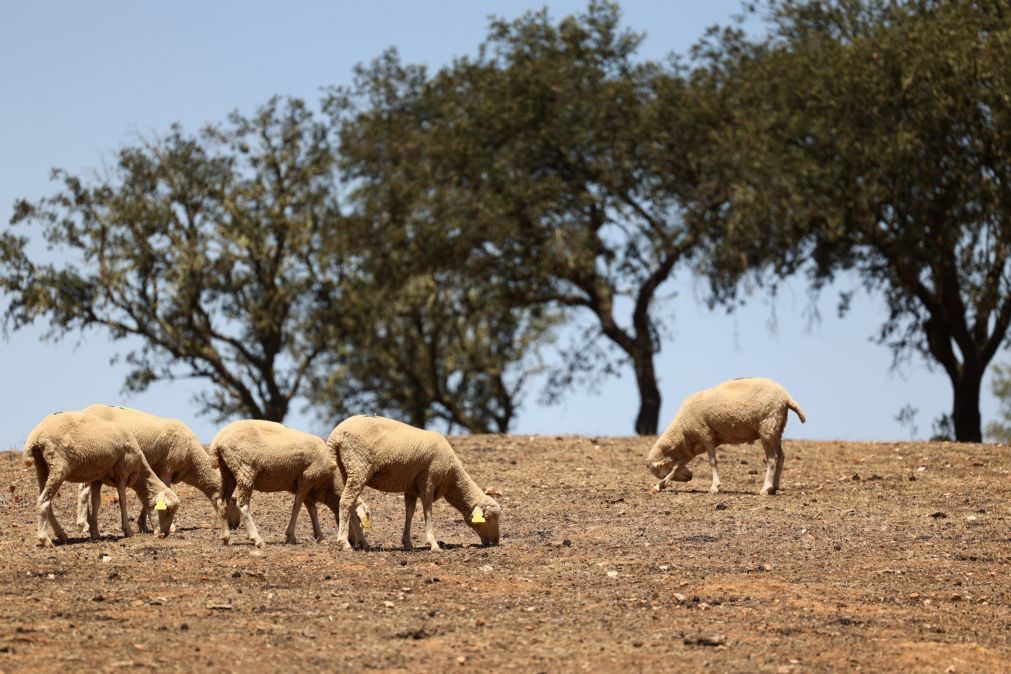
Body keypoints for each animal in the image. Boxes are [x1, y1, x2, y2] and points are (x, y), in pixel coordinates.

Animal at [21, 412, 179, 549]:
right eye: (167, 510)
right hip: (59, 465)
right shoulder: (121, 473)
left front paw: (95, 533)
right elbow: (123, 501)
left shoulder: (98, 478)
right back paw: (45, 539)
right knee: (43, 501)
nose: (164, 534)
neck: (140, 471)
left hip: (42, 467)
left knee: (46, 501)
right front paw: (127, 530)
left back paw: (61, 534)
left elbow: (96, 503)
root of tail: (36, 435)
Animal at [74, 406, 240, 533]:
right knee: (83, 489)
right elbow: (166, 490)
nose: (236, 525)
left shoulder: (154, 471)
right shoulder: (166, 468)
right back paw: (84, 523)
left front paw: (142, 524)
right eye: (233, 500)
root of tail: (84, 410)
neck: (191, 459)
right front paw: (169, 526)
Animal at [209, 422, 372, 549]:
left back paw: (225, 537)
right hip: (245, 470)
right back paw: (258, 539)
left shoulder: (308, 489)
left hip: (227, 471)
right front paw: (291, 536)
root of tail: (218, 440)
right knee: (242, 506)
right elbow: (297, 507)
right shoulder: (307, 478)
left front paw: (320, 537)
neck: (331, 484)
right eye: (358, 519)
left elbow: (312, 511)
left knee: (222, 502)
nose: (356, 543)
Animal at [327, 416, 501, 553]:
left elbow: (409, 513)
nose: (496, 541)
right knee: (346, 502)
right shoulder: (428, 481)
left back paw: (363, 543)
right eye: (488, 518)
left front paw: (408, 543)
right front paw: (433, 544)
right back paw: (344, 543)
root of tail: (335, 435)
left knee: (351, 504)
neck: (451, 478)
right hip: (358, 467)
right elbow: (427, 512)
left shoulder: (411, 488)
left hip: (347, 469)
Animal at [647, 379, 804, 495]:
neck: (680, 431)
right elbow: (677, 467)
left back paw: (766, 489)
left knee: (772, 459)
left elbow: (712, 462)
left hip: (767, 427)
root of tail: (785, 396)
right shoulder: (692, 449)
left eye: (660, 472)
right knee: (781, 457)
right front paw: (659, 486)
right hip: (777, 429)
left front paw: (715, 486)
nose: (690, 477)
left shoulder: (706, 435)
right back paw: (774, 487)